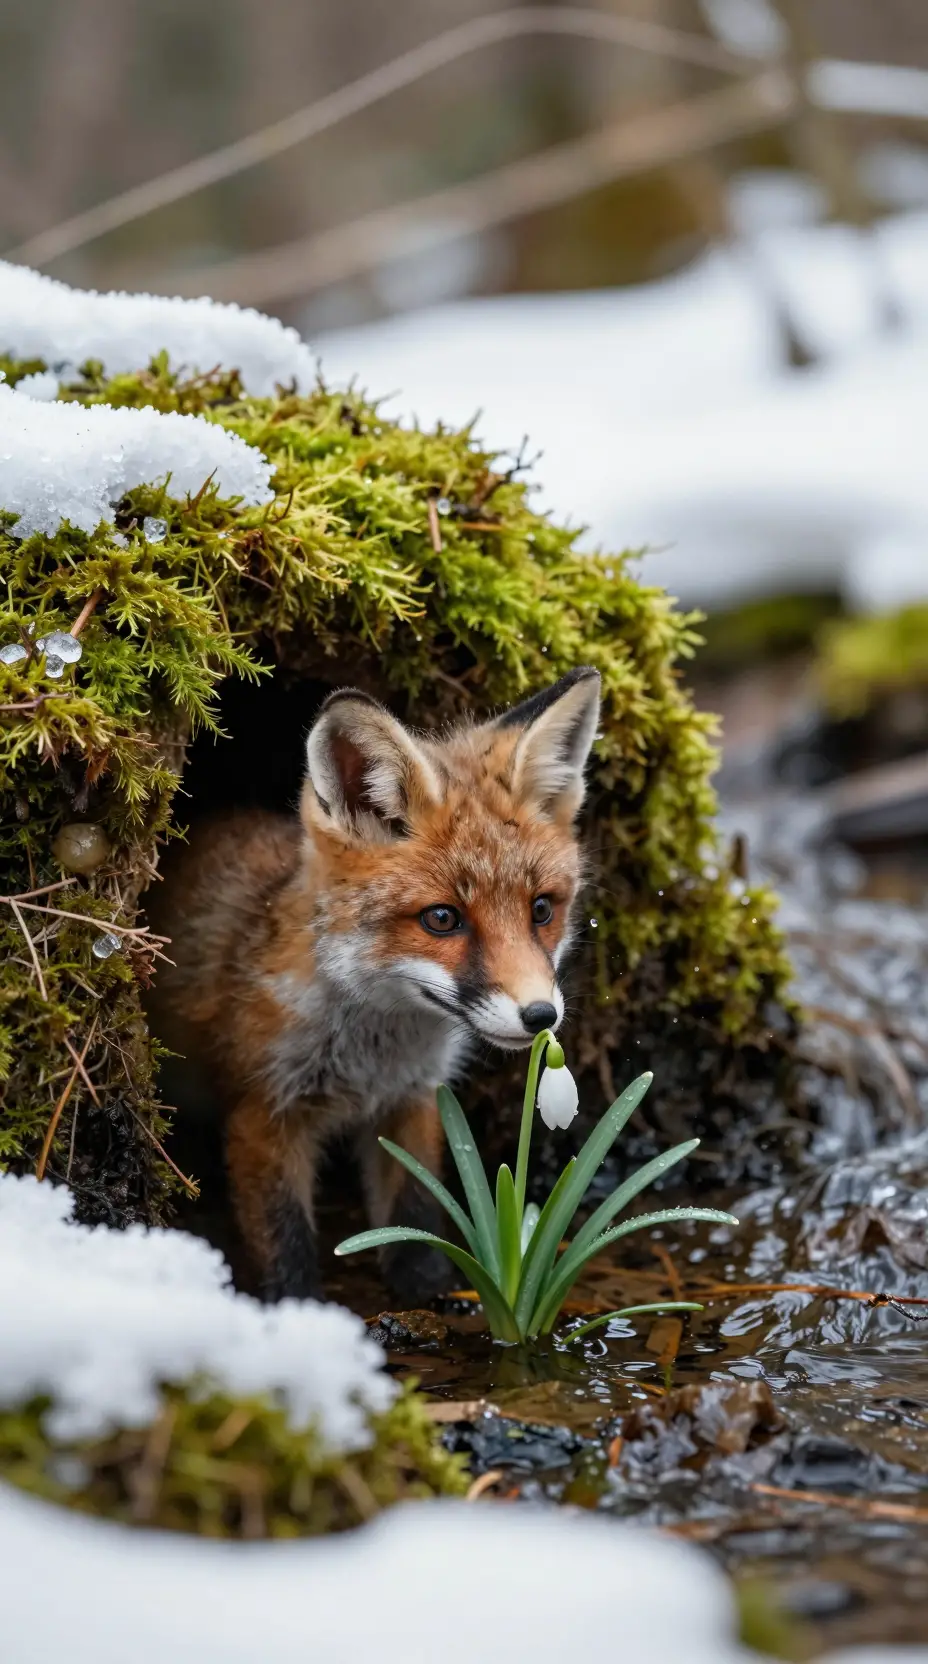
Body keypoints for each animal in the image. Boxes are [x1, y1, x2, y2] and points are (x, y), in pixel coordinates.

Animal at [145, 665, 601, 1304]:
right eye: (442, 919)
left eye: (541, 910)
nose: (540, 1016)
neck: (371, 1052)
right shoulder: (262, 1111)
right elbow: (283, 1241)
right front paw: (296, 1311)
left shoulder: (412, 1099)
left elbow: (417, 1212)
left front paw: (428, 1292)